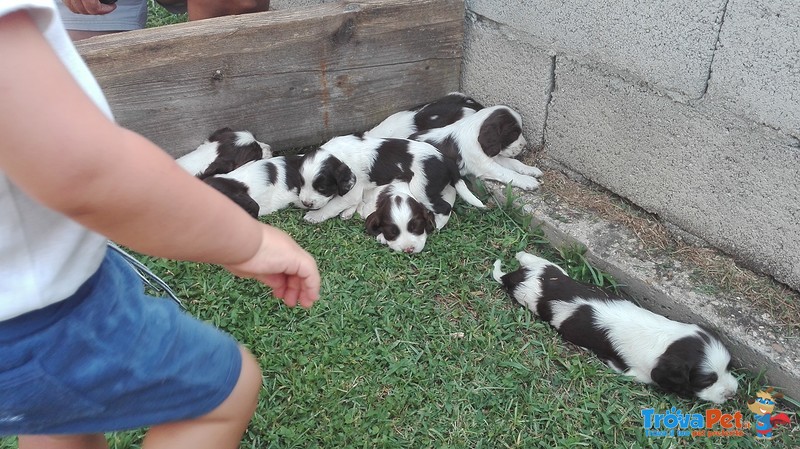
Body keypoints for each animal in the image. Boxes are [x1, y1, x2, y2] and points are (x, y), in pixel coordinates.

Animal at [300, 132, 488, 224]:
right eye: (301, 184)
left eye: (322, 188)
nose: (305, 203)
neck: (338, 154)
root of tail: (445, 160)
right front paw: (348, 212)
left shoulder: (352, 188)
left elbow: (333, 205)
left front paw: (314, 216)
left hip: (421, 189)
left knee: (445, 207)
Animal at [412, 104, 544, 189]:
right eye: (514, 134)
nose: (524, 145)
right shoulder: (485, 165)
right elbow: (507, 173)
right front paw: (527, 181)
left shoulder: (492, 155)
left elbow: (514, 163)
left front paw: (531, 170)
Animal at [490, 252, 740, 402]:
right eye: (707, 381)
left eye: (729, 367)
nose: (732, 393)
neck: (668, 341)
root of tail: (522, 276)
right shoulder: (637, 373)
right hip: (527, 298)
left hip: (551, 268)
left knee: (531, 257)